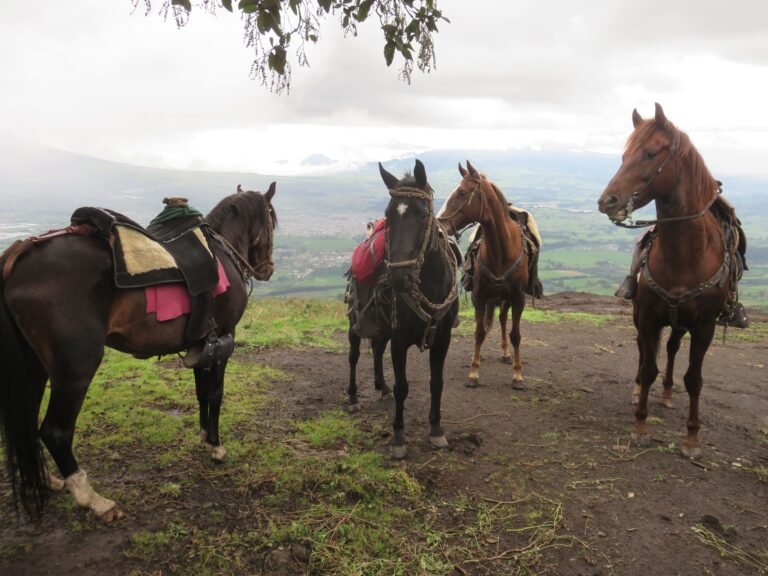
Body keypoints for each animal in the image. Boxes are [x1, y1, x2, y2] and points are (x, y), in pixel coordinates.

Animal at [0, 184, 277, 520]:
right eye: (272, 218)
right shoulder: (225, 336)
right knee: (55, 431)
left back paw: (49, 480)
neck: (220, 250)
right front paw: (215, 446)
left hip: (33, 367)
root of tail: (19, 255)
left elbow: (201, 392)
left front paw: (202, 437)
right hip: (75, 370)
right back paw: (93, 499)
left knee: (26, 422)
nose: (267, 269)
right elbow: (215, 394)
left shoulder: (203, 344)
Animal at [348, 160, 459, 459]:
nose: (398, 277)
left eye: (422, 214)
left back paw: (380, 385)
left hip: (382, 323)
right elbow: (402, 387)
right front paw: (398, 437)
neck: (429, 286)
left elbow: (437, 382)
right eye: (390, 215)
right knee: (354, 355)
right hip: (356, 318)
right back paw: (352, 396)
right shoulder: (399, 339)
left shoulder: (443, 338)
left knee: (376, 349)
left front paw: (436, 429)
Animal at [438, 161, 534, 389]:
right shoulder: (479, 296)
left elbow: (516, 335)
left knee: (503, 320)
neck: (502, 251)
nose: (439, 223)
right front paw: (474, 372)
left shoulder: (518, 298)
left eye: (462, 192)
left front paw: (518, 375)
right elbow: (479, 332)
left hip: (506, 298)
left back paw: (506, 354)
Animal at [598, 103, 740, 459]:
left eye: (650, 153)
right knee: (646, 352)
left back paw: (666, 393)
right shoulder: (648, 317)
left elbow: (695, 379)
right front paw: (640, 426)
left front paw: (692, 438)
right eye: (624, 156)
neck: (685, 253)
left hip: (681, 322)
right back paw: (641, 391)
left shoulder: (705, 326)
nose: (607, 201)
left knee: (674, 348)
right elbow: (648, 367)